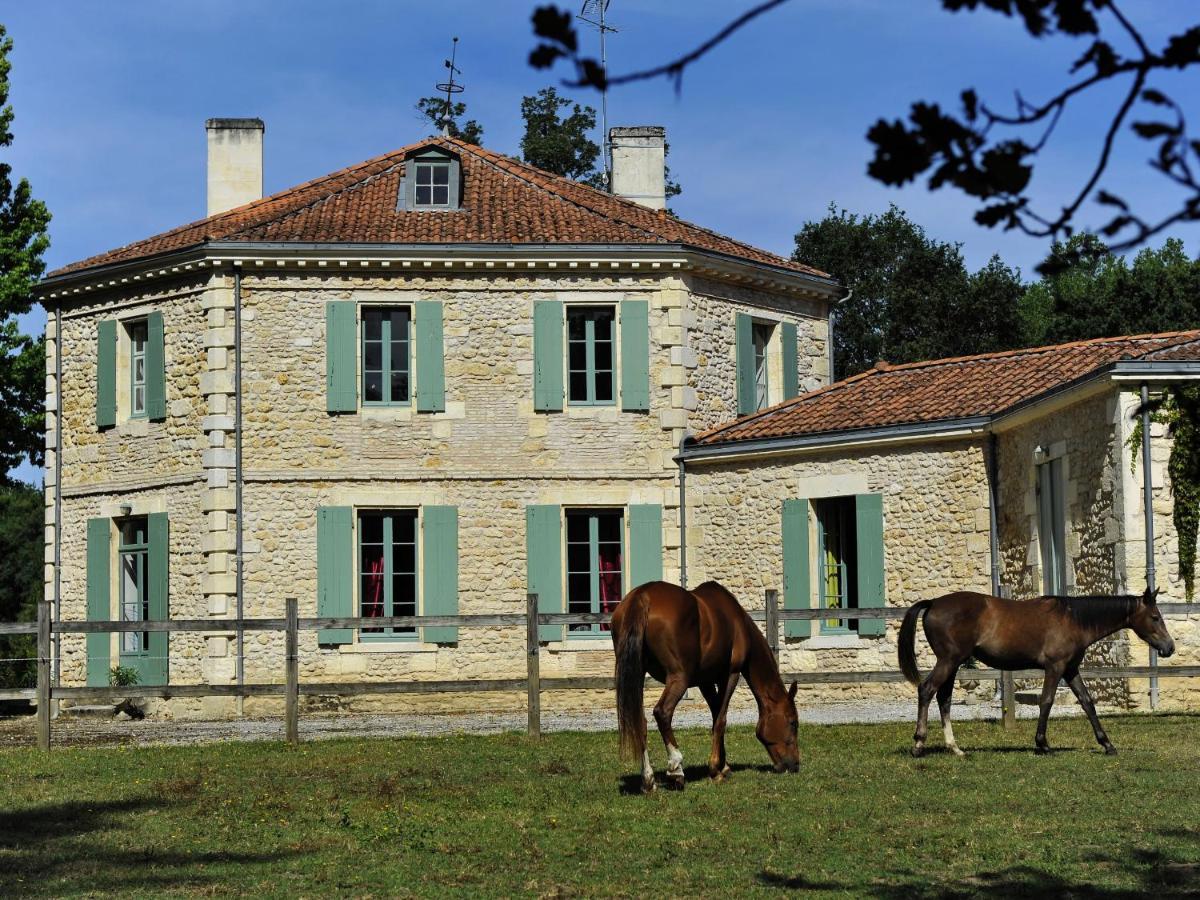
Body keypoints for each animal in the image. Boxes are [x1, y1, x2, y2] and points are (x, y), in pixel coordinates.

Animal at [609, 580, 796, 792]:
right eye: (792, 722)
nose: (794, 765)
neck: (737, 622)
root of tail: (643, 596)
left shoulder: (705, 681)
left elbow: (715, 716)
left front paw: (723, 766)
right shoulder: (730, 675)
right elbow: (721, 719)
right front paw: (716, 769)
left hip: (639, 674)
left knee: (640, 722)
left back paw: (648, 780)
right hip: (679, 678)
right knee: (662, 713)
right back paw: (676, 770)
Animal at [902, 588, 1171, 758]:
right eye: (1155, 617)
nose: (1169, 647)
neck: (1073, 620)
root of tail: (934, 602)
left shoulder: (1070, 669)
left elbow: (1087, 702)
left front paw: (1107, 744)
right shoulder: (1055, 667)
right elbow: (1047, 701)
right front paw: (1043, 745)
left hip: (953, 664)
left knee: (944, 698)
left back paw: (955, 748)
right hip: (948, 661)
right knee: (927, 690)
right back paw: (918, 744)